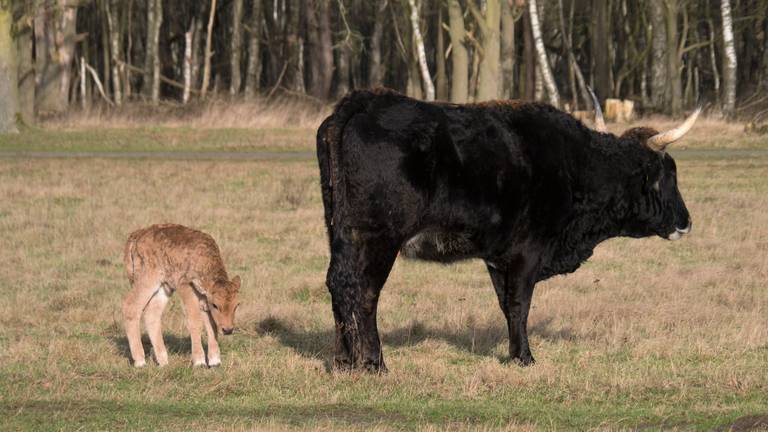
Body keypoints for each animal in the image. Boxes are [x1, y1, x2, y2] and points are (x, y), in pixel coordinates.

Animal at [122, 223, 240, 368]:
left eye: (236, 305)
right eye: (216, 305)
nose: (228, 330)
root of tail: (135, 237)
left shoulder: (203, 298)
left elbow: (211, 324)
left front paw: (215, 361)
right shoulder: (186, 287)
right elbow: (195, 321)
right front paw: (199, 361)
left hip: (164, 287)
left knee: (152, 314)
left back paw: (163, 361)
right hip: (148, 280)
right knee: (131, 307)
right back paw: (140, 361)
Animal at [316, 88, 700, 372]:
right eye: (668, 174)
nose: (687, 221)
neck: (578, 165)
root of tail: (363, 101)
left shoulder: (498, 256)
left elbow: (504, 302)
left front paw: (516, 352)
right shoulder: (527, 251)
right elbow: (519, 303)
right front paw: (525, 358)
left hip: (339, 231)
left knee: (339, 283)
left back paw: (343, 361)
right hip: (378, 237)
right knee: (364, 291)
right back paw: (374, 363)